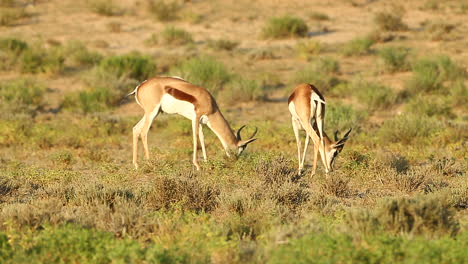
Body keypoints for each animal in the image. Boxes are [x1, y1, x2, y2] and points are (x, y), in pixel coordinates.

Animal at [130, 77, 258, 170]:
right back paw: (150, 163)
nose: (235, 160)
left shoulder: (201, 122)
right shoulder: (195, 118)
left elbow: (202, 138)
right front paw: (197, 165)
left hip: (153, 113)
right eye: (241, 149)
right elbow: (195, 138)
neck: (210, 103)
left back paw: (136, 165)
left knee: (136, 129)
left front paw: (206, 162)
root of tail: (139, 87)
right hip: (152, 112)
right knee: (144, 132)